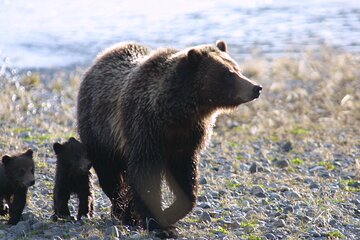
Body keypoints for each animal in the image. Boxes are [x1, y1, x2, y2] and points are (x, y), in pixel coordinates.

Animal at [77, 40, 262, 237]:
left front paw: (169, 213)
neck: (178, 112)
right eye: (227, 74)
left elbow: (186, 176)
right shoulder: (146, 128)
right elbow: (145, 175)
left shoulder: (188, 137)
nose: (256, 88)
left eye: (237, 68)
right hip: (100, 132)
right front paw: (159, 224)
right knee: (110, 175)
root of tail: (98, 61)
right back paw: (124, 212)